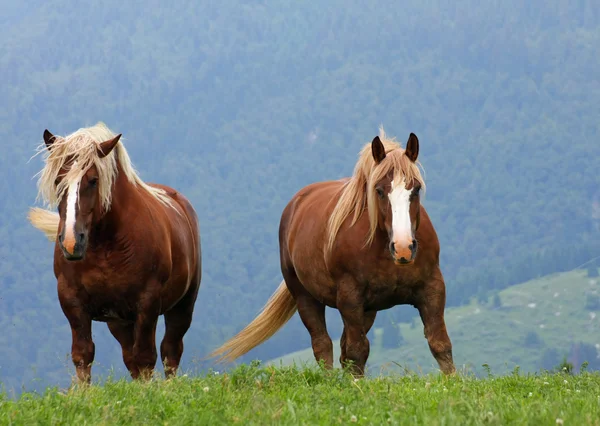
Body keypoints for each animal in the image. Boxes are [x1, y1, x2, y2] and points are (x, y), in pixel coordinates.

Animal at [28, 122, 202, 382]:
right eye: (58, 180)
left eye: (93, 180)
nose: (71, 242)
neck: (106, 248)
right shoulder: (72, 301)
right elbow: (84, 355)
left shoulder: (148, 303)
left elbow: (146, 358)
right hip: (119, 322)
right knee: (132, 358)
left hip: (182, 306)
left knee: (170, 351)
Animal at [211, 127, 454, 376]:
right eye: (379, 191)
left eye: (415, 189)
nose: (403, 247)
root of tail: (295, 205)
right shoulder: (350, 297)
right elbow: (356, 351)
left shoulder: (432, 288)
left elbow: (440, 344)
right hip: (305, 296)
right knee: (323, 344)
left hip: (368, 309)